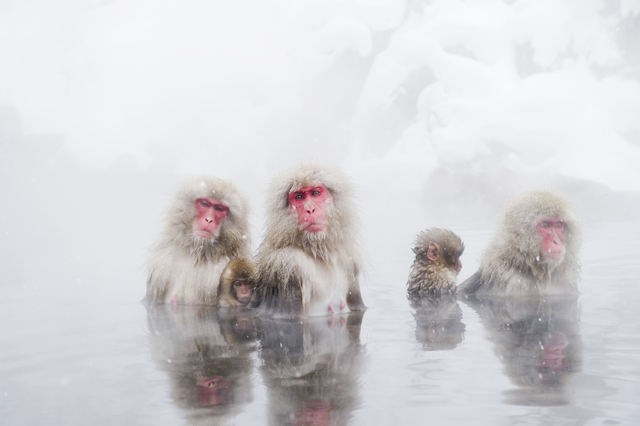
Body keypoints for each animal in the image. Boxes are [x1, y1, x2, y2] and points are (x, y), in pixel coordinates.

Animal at [254, 161, 368, 318]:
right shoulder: (287, 265)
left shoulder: (351, 260)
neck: (320, 254)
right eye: (299, 197)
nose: (310, 209)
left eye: (315, 193)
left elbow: (359, 309)